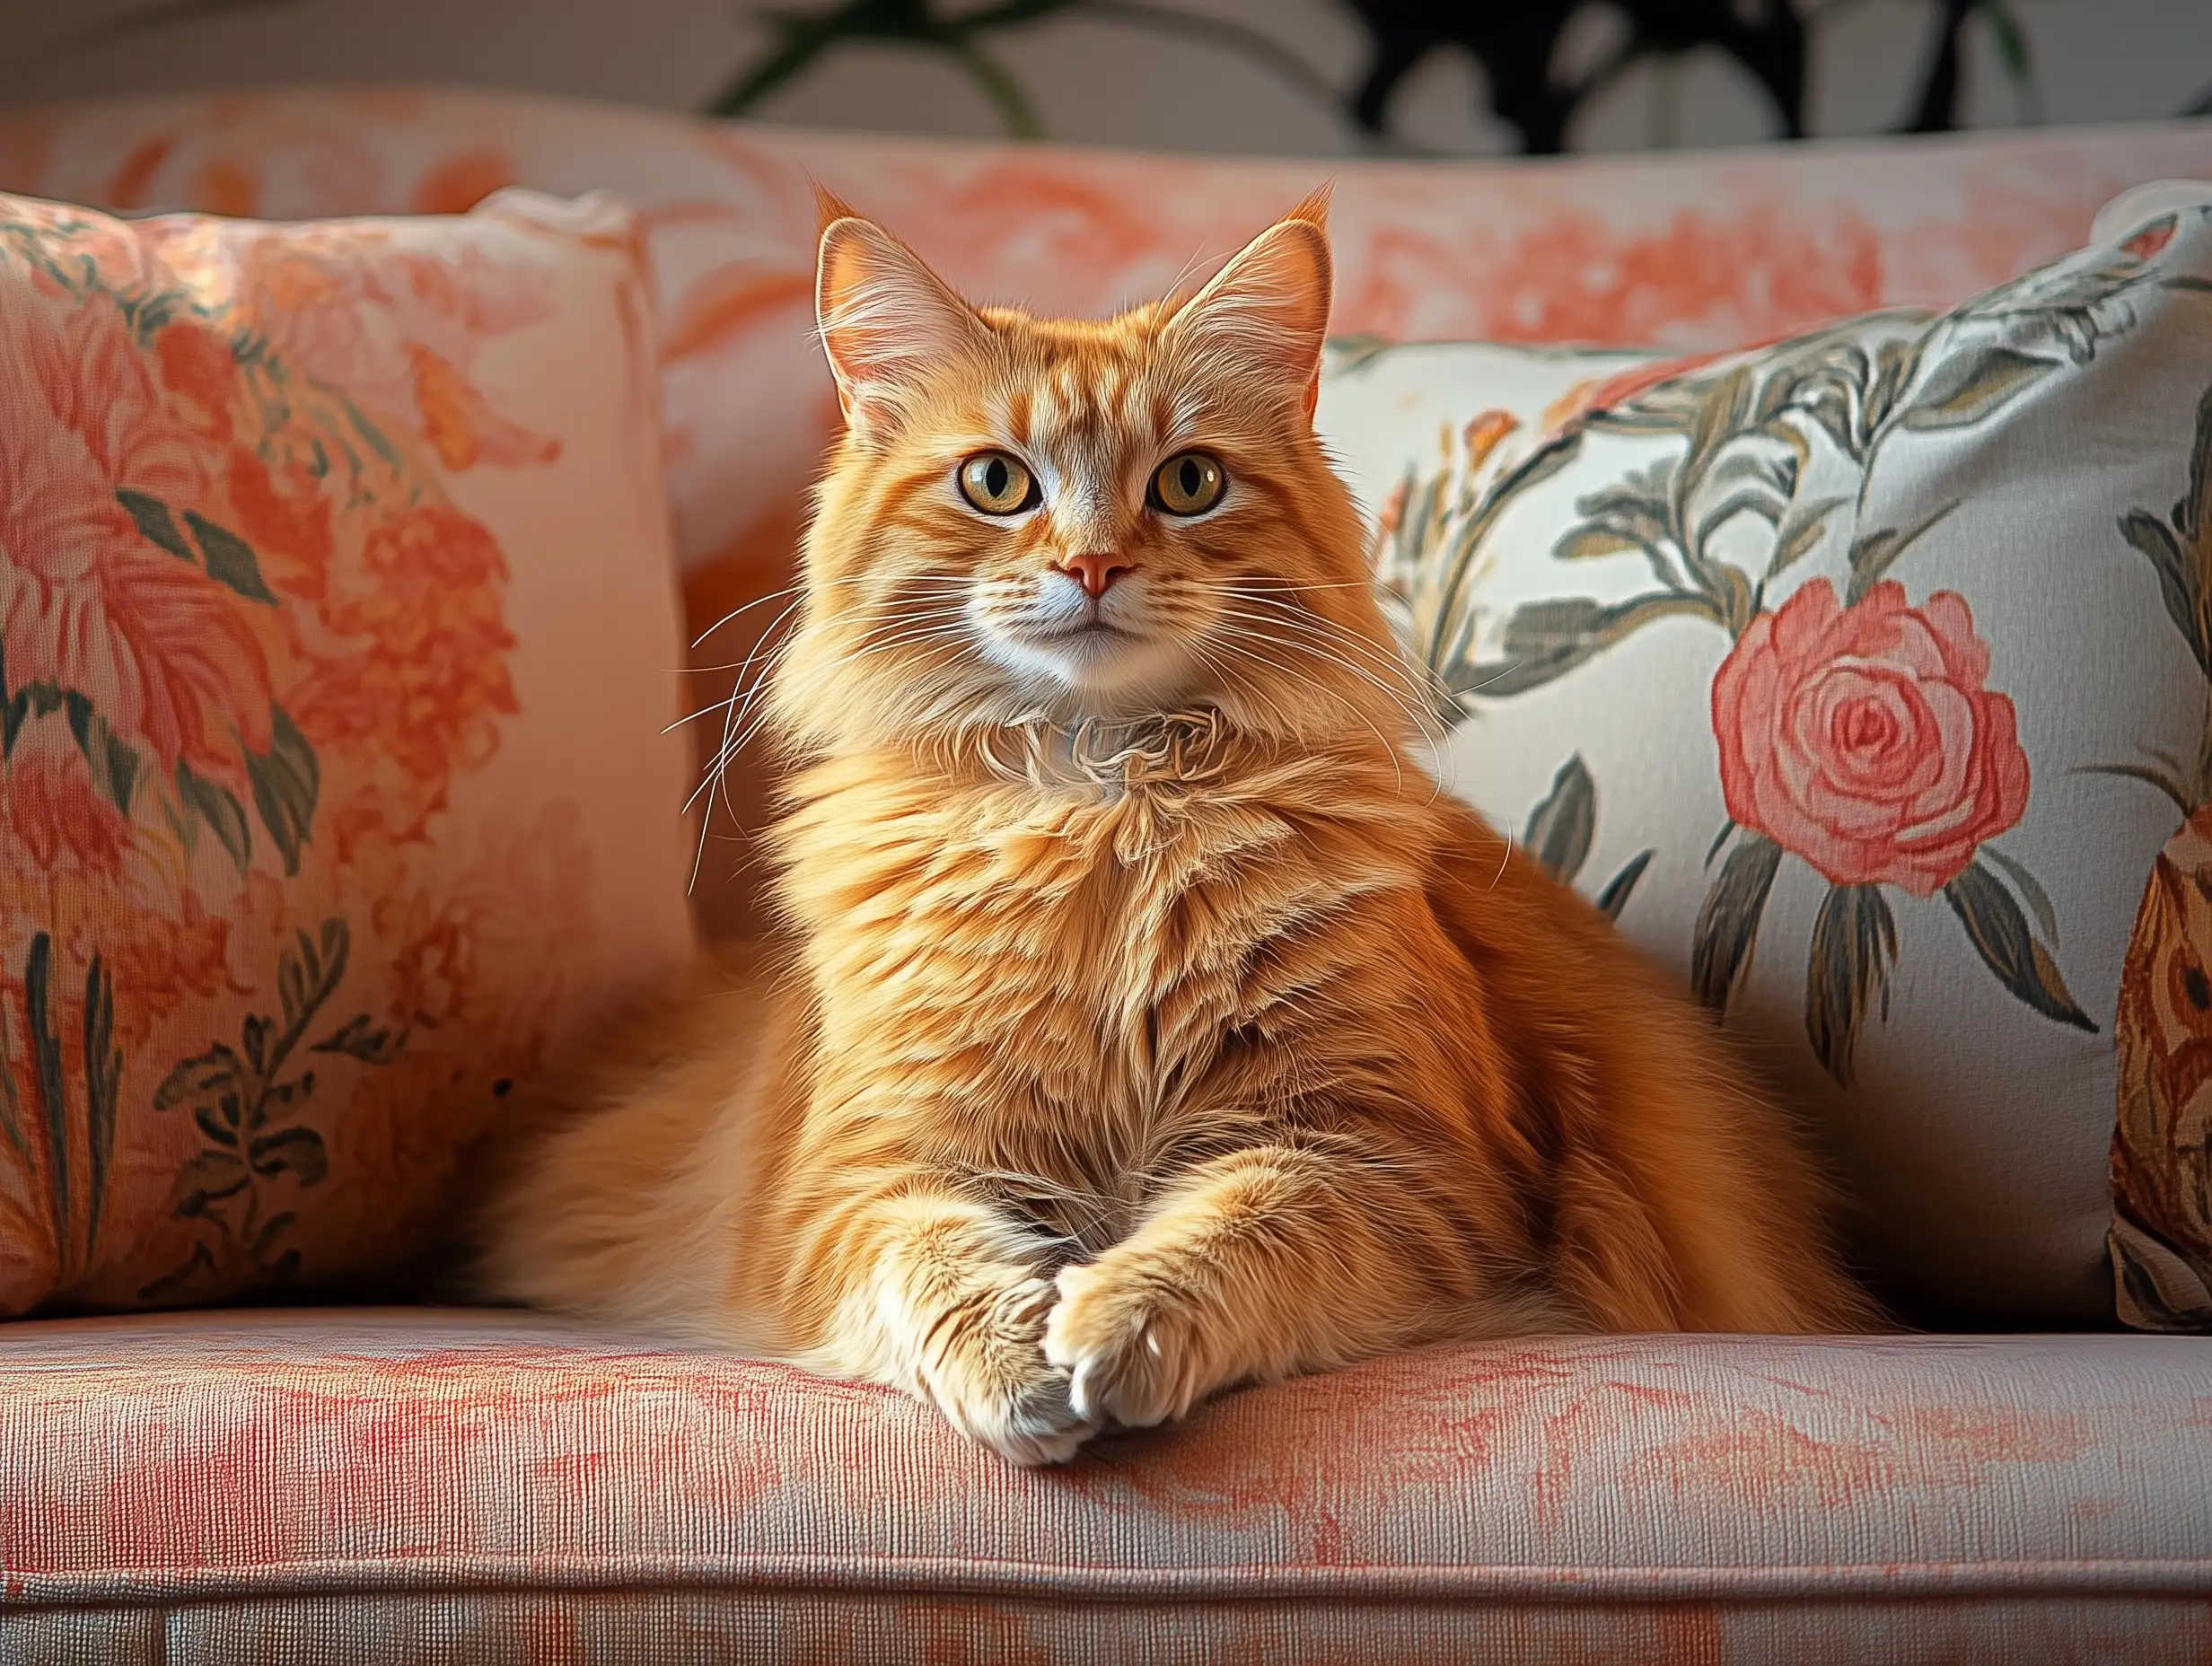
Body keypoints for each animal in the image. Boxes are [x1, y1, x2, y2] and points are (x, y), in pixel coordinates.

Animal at [475, 188, 1875, 1469]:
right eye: (997, 482)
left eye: (1188, 482)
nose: (1092, 565)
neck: (1103, 806)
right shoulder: (858, 1187)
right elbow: (936, 1267)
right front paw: (1019, 1367)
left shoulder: (1400, 1166)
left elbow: (1241, 1232)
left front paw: (1116, 1327)